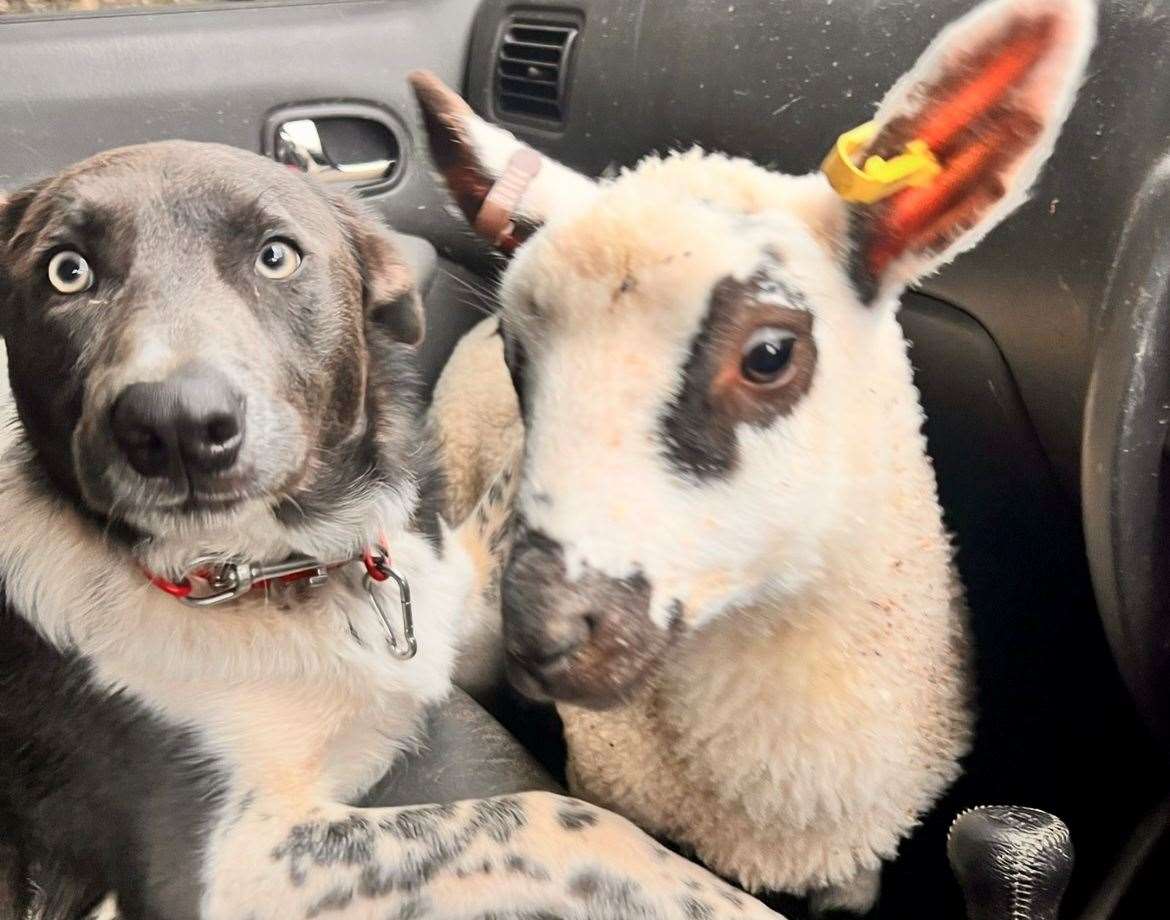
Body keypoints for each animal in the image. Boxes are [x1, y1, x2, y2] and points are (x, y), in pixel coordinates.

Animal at [0, 141, 786, 917]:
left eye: (276, 256)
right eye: (66, 272)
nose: (176, 427)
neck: (280, 570)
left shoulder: (464, 609)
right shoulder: (222, 869)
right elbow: (559, 818)